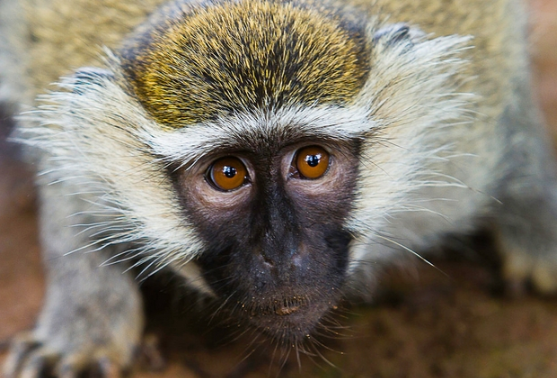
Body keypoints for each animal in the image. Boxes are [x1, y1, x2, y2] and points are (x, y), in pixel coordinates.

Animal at [1, 0, 556, 376]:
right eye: (227, 173)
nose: (281, 253)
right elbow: (67, 195)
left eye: (311, 162)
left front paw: (539, 225)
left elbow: (514, 118)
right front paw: (84, 325)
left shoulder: (472, 136)